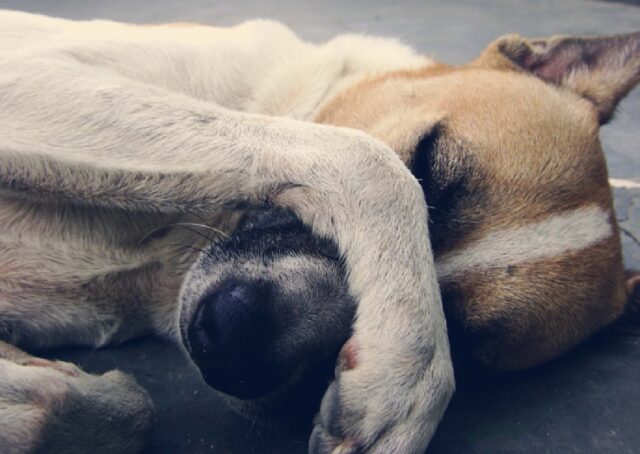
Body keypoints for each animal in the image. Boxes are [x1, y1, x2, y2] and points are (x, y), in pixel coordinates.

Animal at [1, 10, 640, 454]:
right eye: (428, 163)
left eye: (467, 341)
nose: (233, 345)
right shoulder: (28, 77)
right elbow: (370, 162)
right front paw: (406, 375)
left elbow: (132, 410)